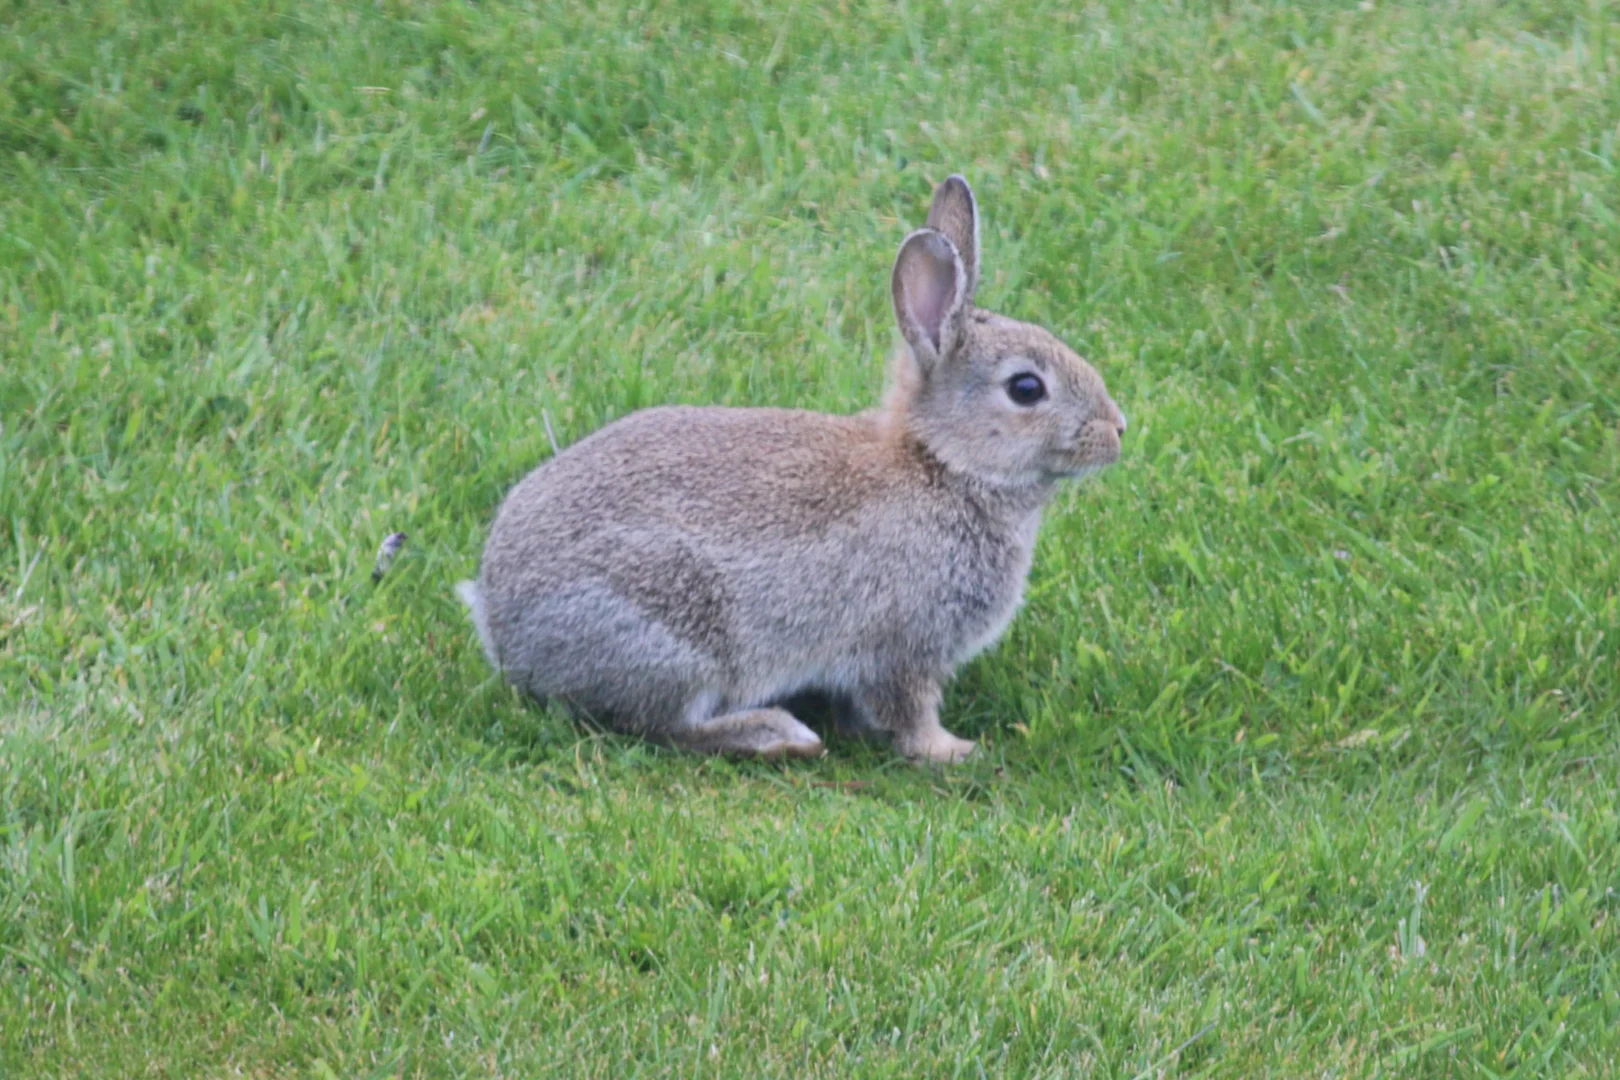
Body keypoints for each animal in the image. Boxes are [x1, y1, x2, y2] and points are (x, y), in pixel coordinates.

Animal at [458, 175, 1126, 763]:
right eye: (1025, 389)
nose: (1117, 430)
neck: (942, 464)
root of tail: (501, 625)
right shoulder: (902, 644)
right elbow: (907, 711)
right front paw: (953, 751)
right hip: (672, 635)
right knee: (663, 727)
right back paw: (777, 735)